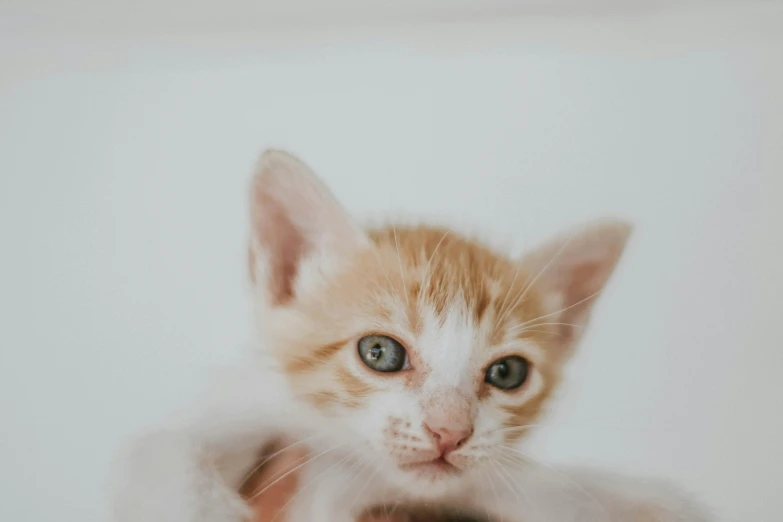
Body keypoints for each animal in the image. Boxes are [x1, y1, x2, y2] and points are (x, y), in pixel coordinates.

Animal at [112, 148, 712, 520]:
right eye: (379, 353)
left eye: (507, 372)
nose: (450, 432)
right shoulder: (240, 406)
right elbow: (167, 447)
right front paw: (187, 504)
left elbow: (527, 484)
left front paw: (642, 500)